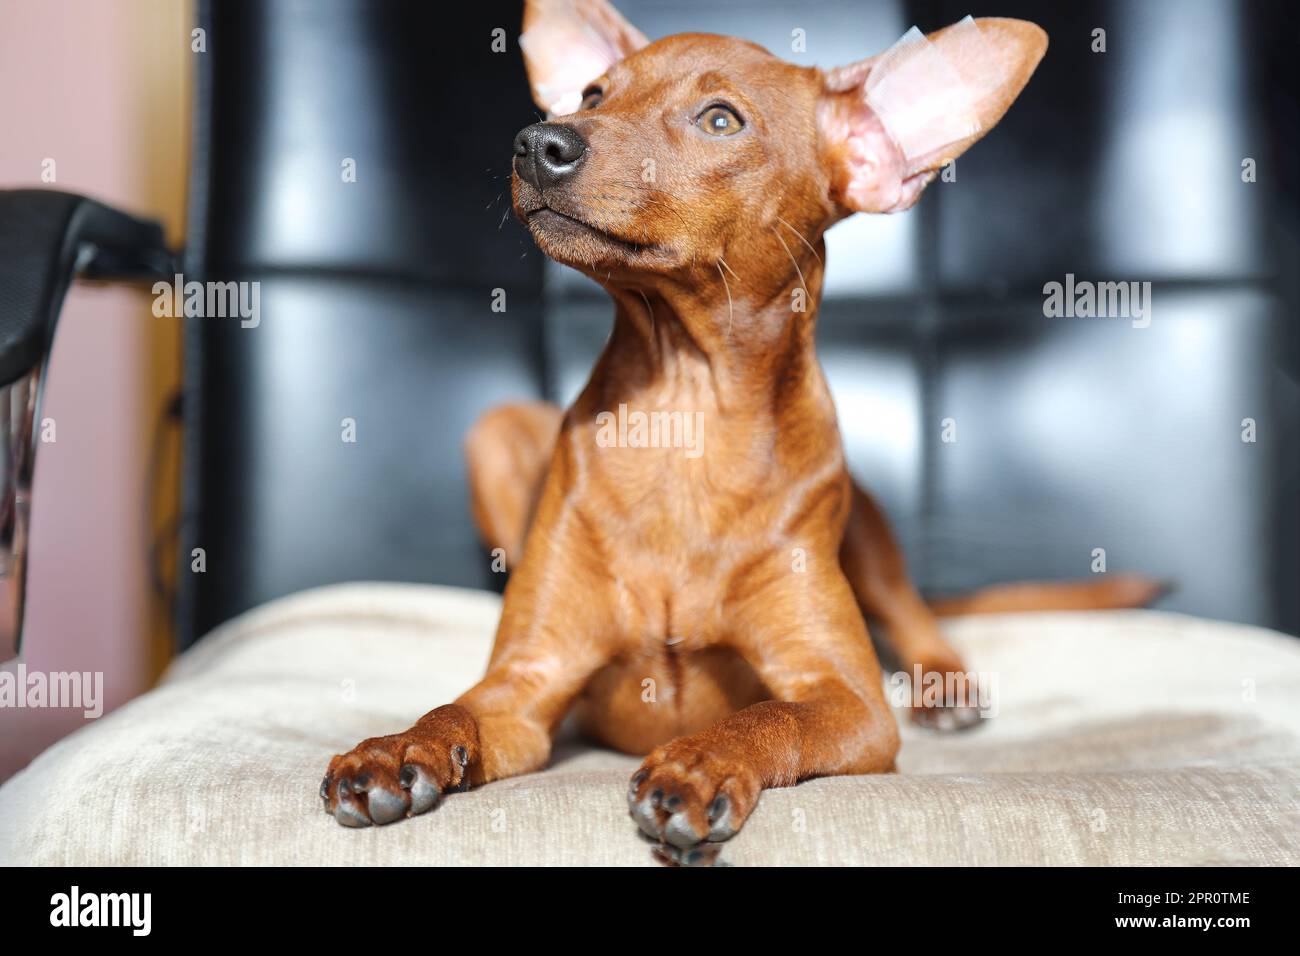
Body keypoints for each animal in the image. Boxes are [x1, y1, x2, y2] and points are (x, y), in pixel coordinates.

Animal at [319, 0, 1164, 863]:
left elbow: (770, 715)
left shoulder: (850, 703)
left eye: (720, 119)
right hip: (496, 432)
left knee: (910, 607)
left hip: (864, 523)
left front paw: (700, 764)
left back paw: (944, 682)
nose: (537, 143)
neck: (683, 418)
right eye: (591, 95)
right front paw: (398, 748)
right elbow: (452, 708)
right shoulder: (525, 687)